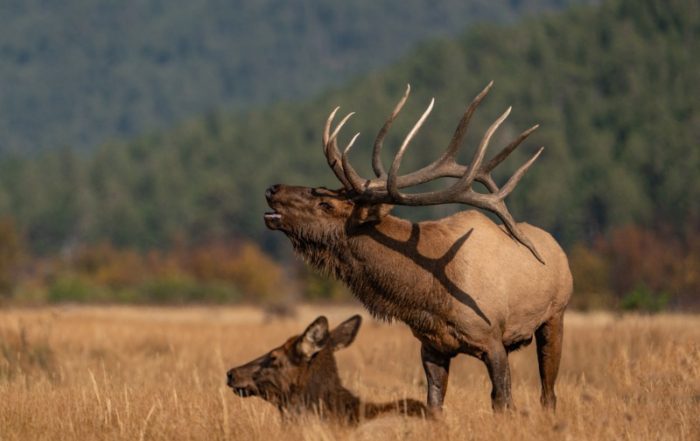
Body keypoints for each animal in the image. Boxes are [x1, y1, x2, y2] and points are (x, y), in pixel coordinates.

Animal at [263, 82, 573, 412]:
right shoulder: (431, 346)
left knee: (549, 392)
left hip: (555, 315)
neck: (428, 297)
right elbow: (433, 404)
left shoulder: (493, 340)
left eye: (325, 204)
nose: (272, 189)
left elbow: (503, 401)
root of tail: (560, 251)